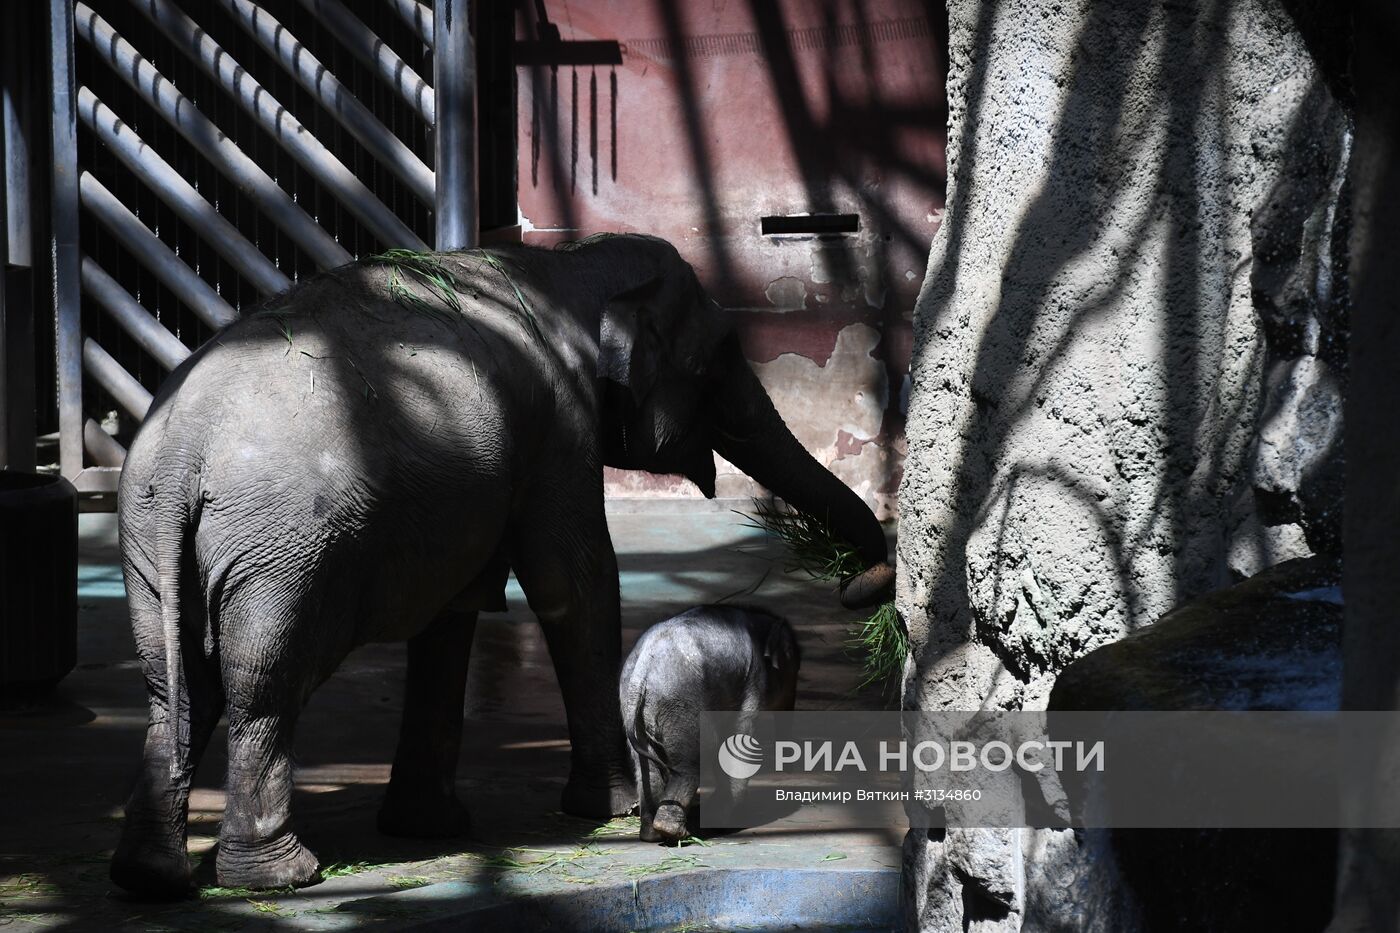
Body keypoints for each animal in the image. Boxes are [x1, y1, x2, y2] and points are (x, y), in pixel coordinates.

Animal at [621, 599, 806, 840]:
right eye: (795, 670)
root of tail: (641, 673)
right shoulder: (752, 681)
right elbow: (737, 737)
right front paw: (726, 821)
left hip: (635, 710)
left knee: (647, 766)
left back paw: (652, 834)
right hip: (682, 704)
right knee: (697, 755)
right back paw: (677, 833)